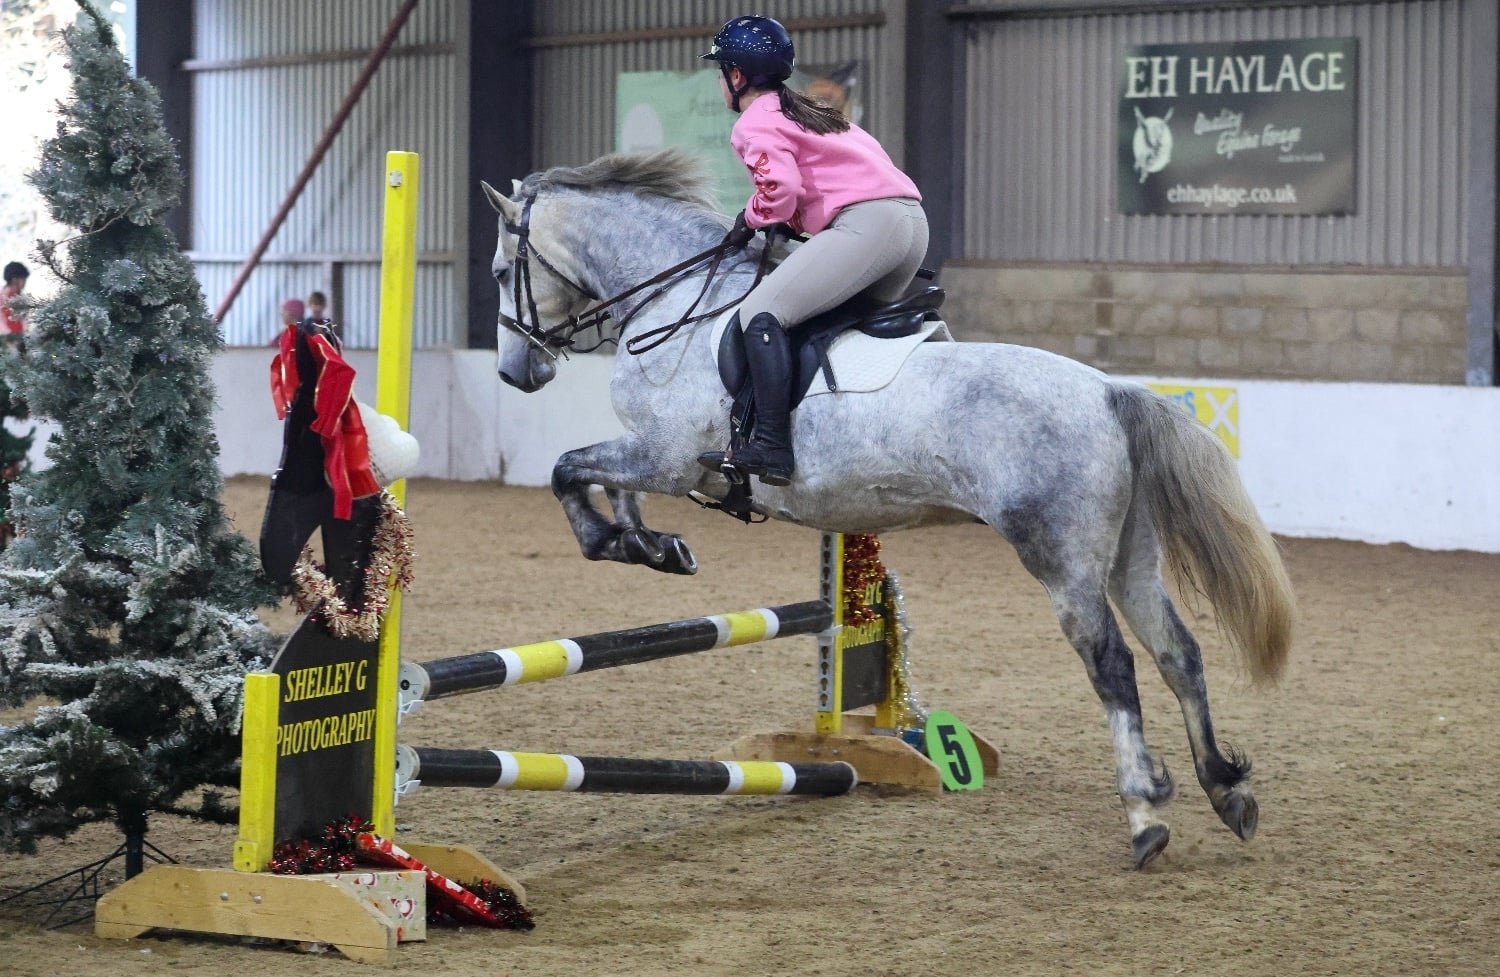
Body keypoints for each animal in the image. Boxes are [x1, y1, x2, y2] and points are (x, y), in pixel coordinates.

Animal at [480, 148, 1295, 869]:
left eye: (498, 272)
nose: (516, 372)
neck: (680, 308)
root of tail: (1107, 392)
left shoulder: (668, 457)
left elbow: (567, 471)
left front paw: (613, 541)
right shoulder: (657, 457)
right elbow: (608, 482)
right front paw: (653, 546)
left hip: (1060, 558)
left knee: (1114, 666)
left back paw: (1144, 815)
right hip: (1129, 555)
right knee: (1178, 652)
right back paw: (1226, 791)